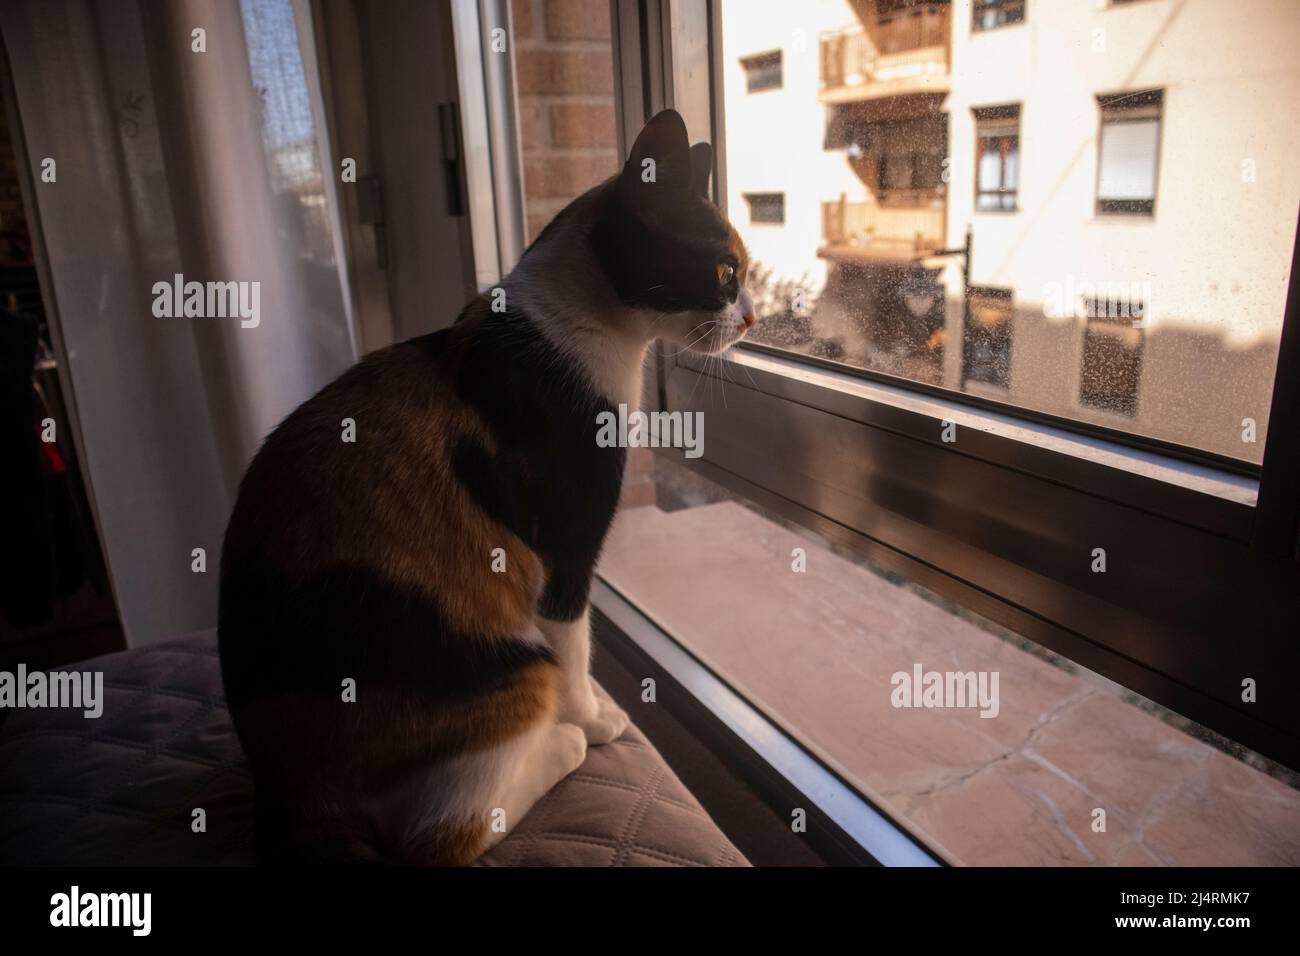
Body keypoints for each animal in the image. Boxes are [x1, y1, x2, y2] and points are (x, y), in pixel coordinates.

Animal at [218, 110, 759, 868]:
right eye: (726, 271)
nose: (753, 316)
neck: (567, 329)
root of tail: (291, 795)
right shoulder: (564, 554)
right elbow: (576, 647)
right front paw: (594, 719)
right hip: (512, 670)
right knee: (441, 833)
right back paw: (562, 744)